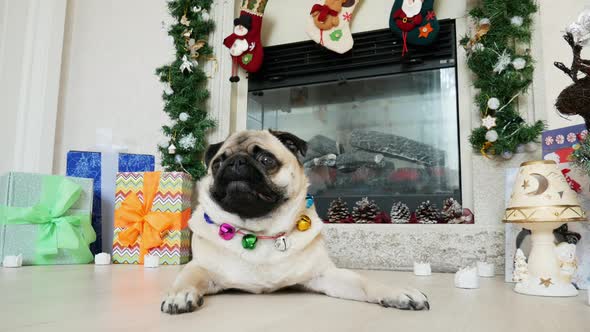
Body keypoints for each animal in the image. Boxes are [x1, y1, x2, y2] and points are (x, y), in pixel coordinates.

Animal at [161, 129, 430, 314]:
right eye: (217, 164)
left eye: (266, 160)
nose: (236, 162)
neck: (257, 230)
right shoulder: (200, 268)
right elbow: (185, 278)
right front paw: (178, 295)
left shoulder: (324, 275)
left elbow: (365, 282)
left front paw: (397, 292)